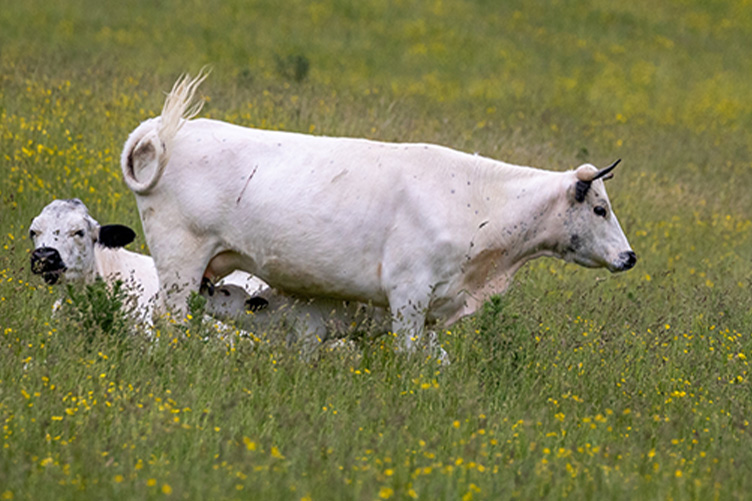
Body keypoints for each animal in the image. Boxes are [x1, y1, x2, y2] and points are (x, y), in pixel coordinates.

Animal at [120, 73, 637, 352]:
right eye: (599, 208)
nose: (629, 257)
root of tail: (162, 129)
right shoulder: (408, 295)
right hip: (180, 261)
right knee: (170, 320)